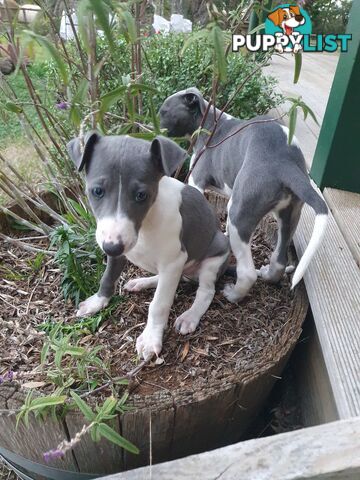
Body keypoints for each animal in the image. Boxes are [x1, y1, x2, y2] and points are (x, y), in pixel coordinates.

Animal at [66, 133, 229, 358]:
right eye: (97, 191)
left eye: (141, 195)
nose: (111, 248)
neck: (146, 224)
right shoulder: (118, 250)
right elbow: (107, 278)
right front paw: (97, 301)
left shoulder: (173, 260)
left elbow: (159, 303)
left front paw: (151, 338)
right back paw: (141, 282)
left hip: (214, 257)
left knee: (206, 292)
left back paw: (189, 316)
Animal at [159, 88, 328, 302]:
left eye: (163, 112)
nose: (153, 132)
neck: (209, 123)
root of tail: (283, 163)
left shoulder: (196, 181)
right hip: (290, 214)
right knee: (279, 260)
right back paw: (267, 274)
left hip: (240, 212)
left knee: (247, 272)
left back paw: (233, 295)